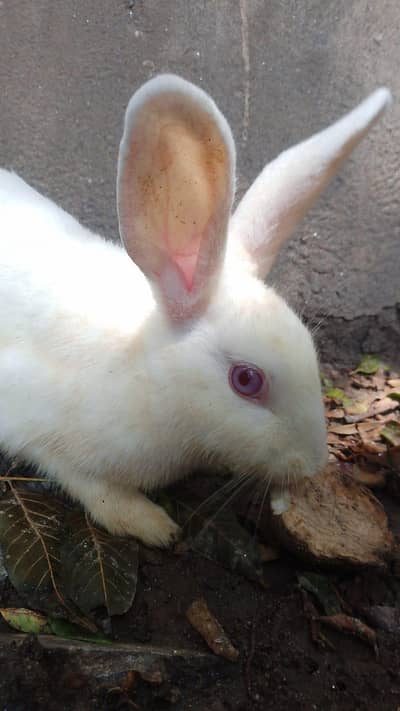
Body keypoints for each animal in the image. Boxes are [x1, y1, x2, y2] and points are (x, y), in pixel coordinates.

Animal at [0, 75, 391, 546]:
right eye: (246, 380)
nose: (312, 463)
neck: (144, 373)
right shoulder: (36, 428)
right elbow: (92, 486)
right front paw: (152, 525)